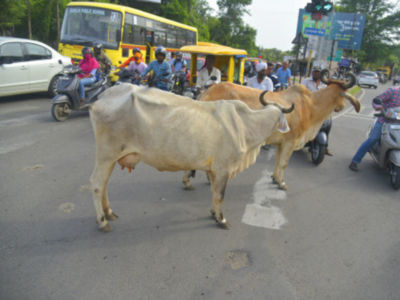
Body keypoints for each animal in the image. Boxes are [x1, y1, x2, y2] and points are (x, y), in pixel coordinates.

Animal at [89, 84, 292, 232]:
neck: (245, 125)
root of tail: (104, 95)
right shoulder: (223, 169)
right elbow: (219, 195)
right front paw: (222, 219)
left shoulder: (214, 170)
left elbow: (213, 193)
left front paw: (213, 214)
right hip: (106, 155)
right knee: (97, 185)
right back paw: (102, 221)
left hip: (112, 157)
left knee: (104, 184)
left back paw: (108, 212)